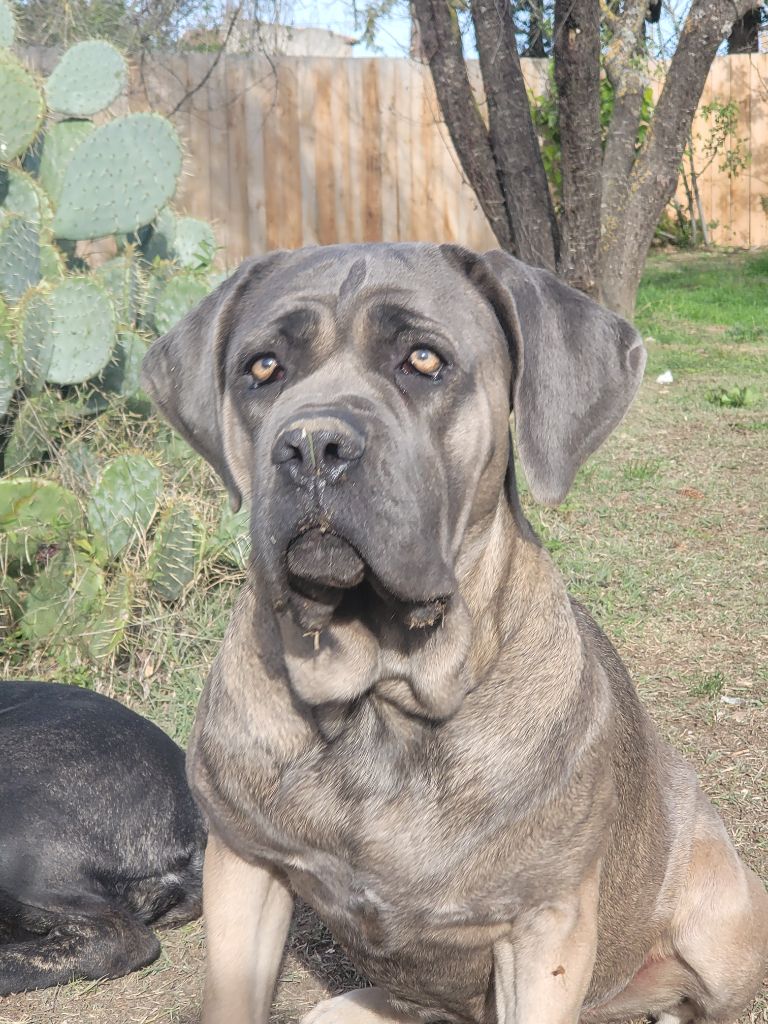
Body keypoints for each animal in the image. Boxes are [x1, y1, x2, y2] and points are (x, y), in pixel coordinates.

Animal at [140, 245, 768, 1024]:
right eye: (262, 367)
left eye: (423, 359)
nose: (313, 444)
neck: (379, 697)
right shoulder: (243, 867)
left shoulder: (545, 926)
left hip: (726, 928)